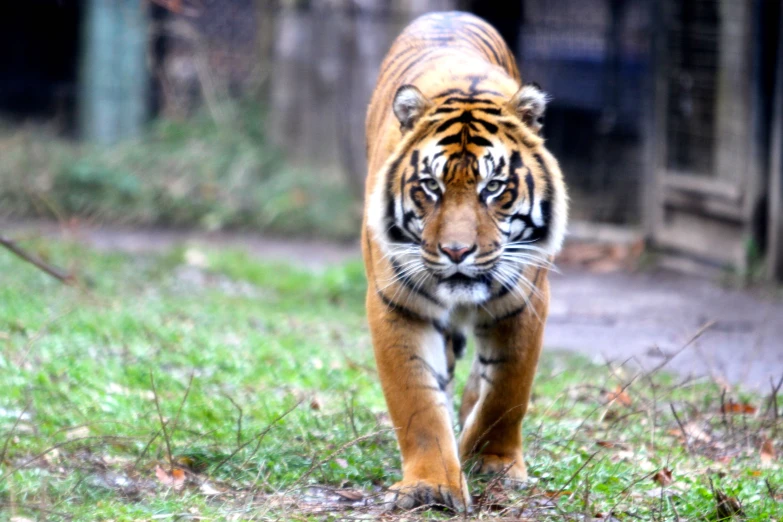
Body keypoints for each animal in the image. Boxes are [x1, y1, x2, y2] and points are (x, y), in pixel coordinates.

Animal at [362, 11, 568, 508]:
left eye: (493, 187)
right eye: (431, 187)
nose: (457, 251)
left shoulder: (525, 300)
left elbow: (507, 392)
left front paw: (492, 463)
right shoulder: (396, 304)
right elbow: (417, 401)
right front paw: (431, 483)